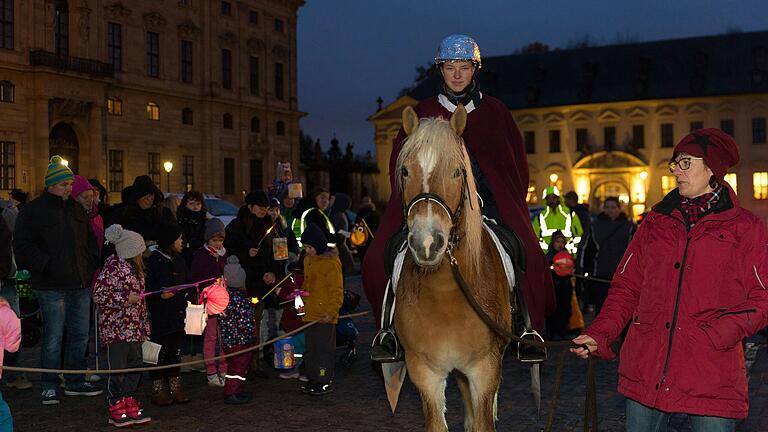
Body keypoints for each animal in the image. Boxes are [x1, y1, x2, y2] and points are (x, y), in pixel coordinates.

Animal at [392, 105, 512, 432]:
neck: (447, 289)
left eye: (458, 171)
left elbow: (483, 422)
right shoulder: (424, 372)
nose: (427, 242)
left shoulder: (485, 369)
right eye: (405, 171)